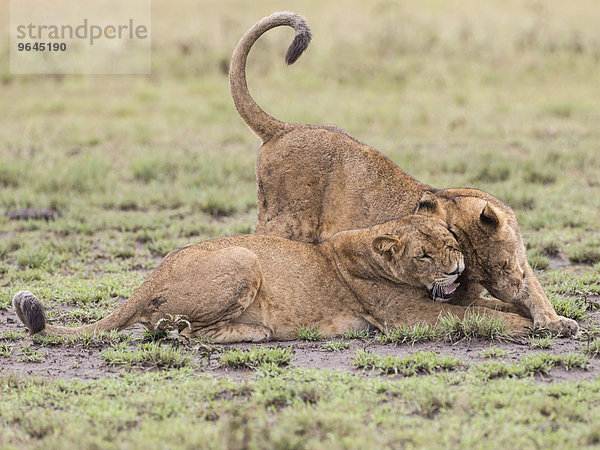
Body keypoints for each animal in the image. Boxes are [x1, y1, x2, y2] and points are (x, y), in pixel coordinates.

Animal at [229, 10, 576, 336]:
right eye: (477, 274)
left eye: (502, 264)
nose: (512, 290)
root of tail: (284, 128)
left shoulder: (520, 261)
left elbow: (536, 291)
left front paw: (555, 320)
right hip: (284, 223)